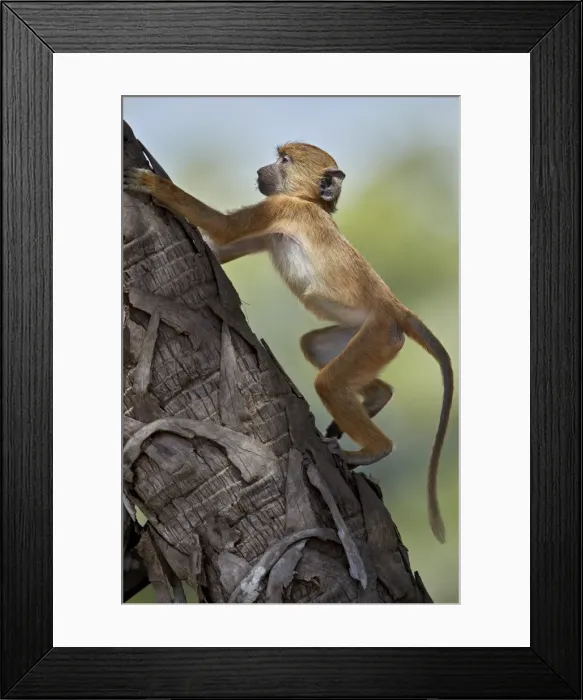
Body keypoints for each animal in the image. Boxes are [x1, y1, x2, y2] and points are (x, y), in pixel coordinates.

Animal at [124, 141, 454, 543]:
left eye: (283, 160)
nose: (260, 169)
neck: (311, 203)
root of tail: (393, 306)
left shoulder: (283, 208)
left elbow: (225, 228)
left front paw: (152, 183)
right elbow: (224, 246)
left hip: (379, 334)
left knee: (330, 382)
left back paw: (373, 449)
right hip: (369, 334)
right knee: (316, 348)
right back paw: (378, 397)